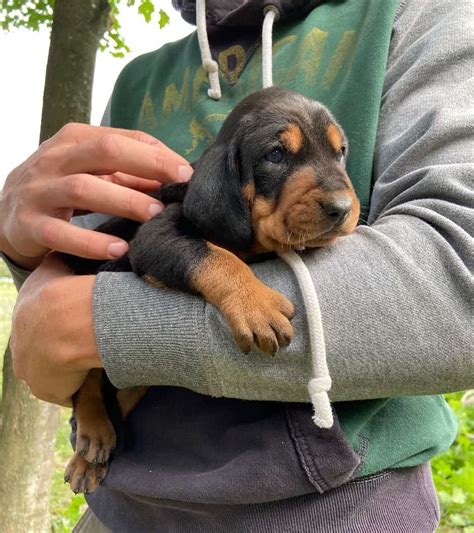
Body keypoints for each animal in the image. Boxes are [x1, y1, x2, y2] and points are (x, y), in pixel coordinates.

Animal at [61, 86, 362, 490]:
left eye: (339, 152)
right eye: (276, 155)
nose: (342, 208)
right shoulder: (155, 236)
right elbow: (214, 255)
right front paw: (256, 305)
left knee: (121, 389)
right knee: (89, 382)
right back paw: (92, 436)